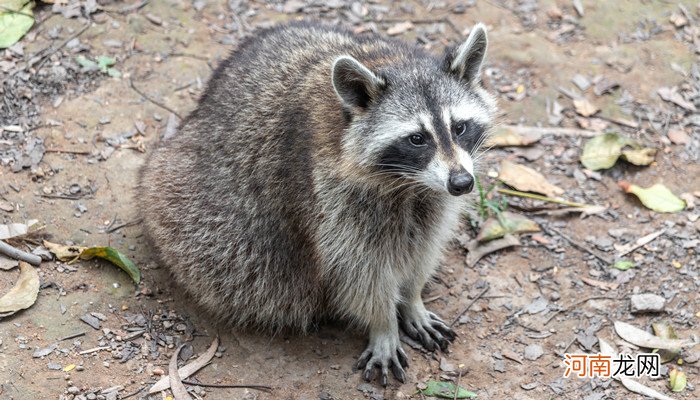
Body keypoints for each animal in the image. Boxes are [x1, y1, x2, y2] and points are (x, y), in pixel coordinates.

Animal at [139, 21, 494, 384]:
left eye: (460, 127)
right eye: (417, 139)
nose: (462, 183)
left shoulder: (432, 198)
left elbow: (423, 248)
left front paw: (412, 298)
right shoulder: (328, 195)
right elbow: (358, 271)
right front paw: (383, 323)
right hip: (196, 201)